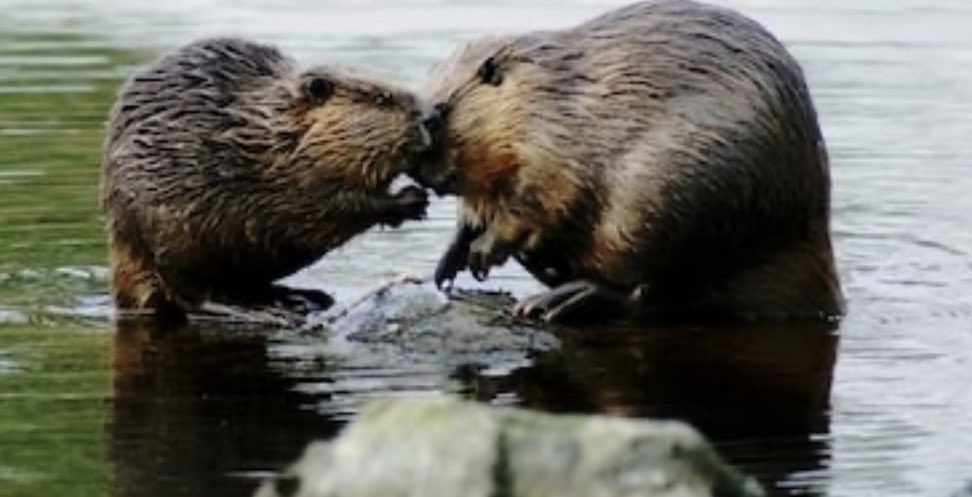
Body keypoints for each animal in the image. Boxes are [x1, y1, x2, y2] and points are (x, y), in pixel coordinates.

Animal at [100, 37, 434, 318]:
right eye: (383, 99)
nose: (432, 115)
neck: (270, 131)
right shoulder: (294, 177)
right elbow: (333, 206)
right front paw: (410, 198)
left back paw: (303, 296)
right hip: (167, 236)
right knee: (192, 293)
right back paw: (264, 310)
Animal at [416, 0, 844, 324]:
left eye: (439, 114)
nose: (423, 176)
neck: (548, 95)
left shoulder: (555, 144)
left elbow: (536, 203)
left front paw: (482, 252)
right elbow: (475, 213)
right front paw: (447, 263)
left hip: (677, 202)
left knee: (648, 290)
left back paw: (553, 301)